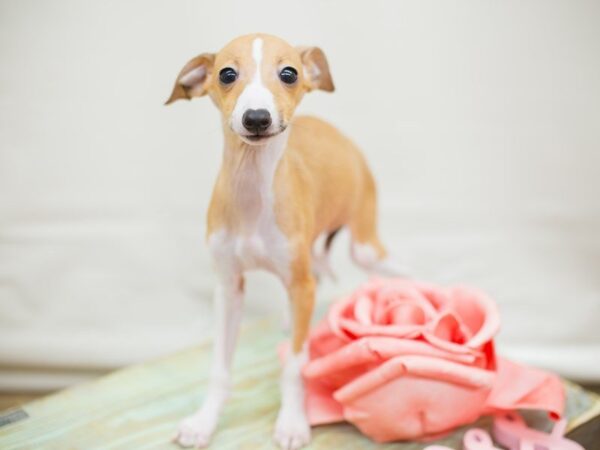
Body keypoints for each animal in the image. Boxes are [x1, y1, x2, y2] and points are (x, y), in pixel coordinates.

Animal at [165, 32, 398, 450]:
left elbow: (294, 365)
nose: (256, 118)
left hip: (365, 246)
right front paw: (204, 421)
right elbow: (220, 368)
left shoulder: (300, 283)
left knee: (394, 269)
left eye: (289, 73)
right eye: (227, 73)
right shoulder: (228, 287)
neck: (252, 192)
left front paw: (292, 422)